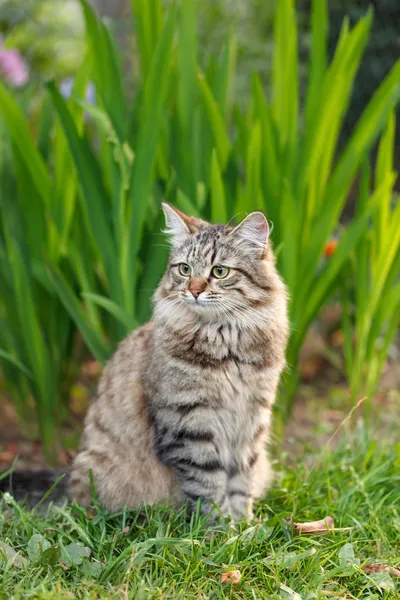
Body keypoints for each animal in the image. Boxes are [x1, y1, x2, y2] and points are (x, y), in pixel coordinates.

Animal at [68, 203, 288, 520]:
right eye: (185, 269)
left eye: (219, 271)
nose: (194, 291)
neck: (226, 343)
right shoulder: (189, 423)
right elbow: (209, 486)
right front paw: (221, 528)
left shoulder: (251, 420)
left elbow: (241, 483)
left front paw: (244, 524)